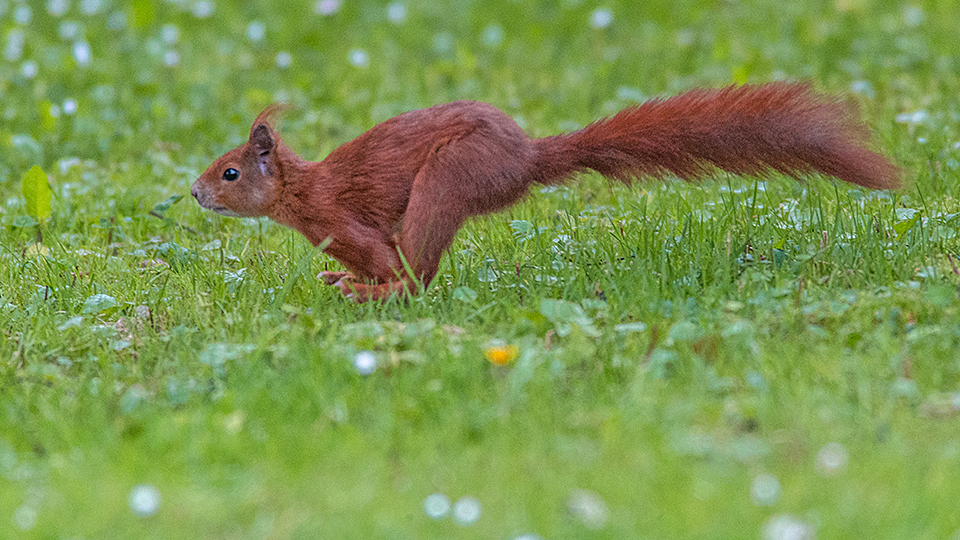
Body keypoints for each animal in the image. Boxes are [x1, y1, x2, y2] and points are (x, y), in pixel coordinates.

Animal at [193, 85, 900, 304]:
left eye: (230, 172)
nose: (195, 192)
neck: (302, 193)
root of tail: (526, 159)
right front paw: (338, 275)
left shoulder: (345, 220)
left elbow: (383, 258)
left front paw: (363, 284)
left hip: (448, 178)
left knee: (420, 274)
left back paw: (373, 293)